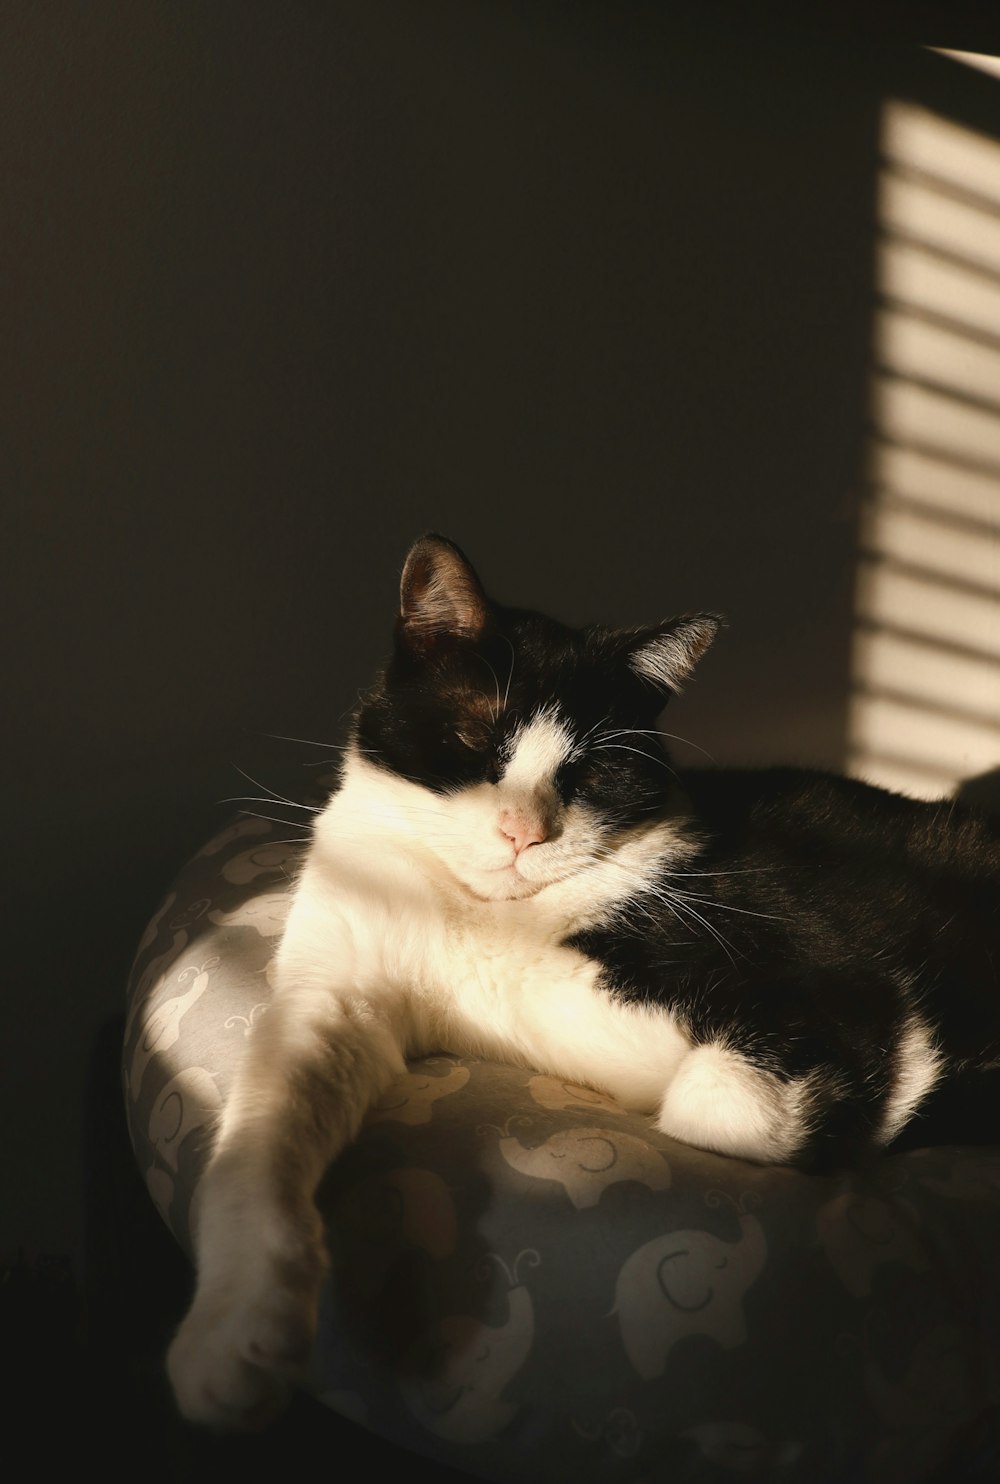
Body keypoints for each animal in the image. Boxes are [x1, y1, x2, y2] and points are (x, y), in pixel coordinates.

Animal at [167, 531, 997, 1424]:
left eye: (591, 773)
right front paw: (234, 1336)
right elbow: (264, 1130)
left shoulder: (842, 995)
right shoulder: (334, 989)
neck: (489, 914)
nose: (522, 832)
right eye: (475, 738)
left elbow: (719, 1107)